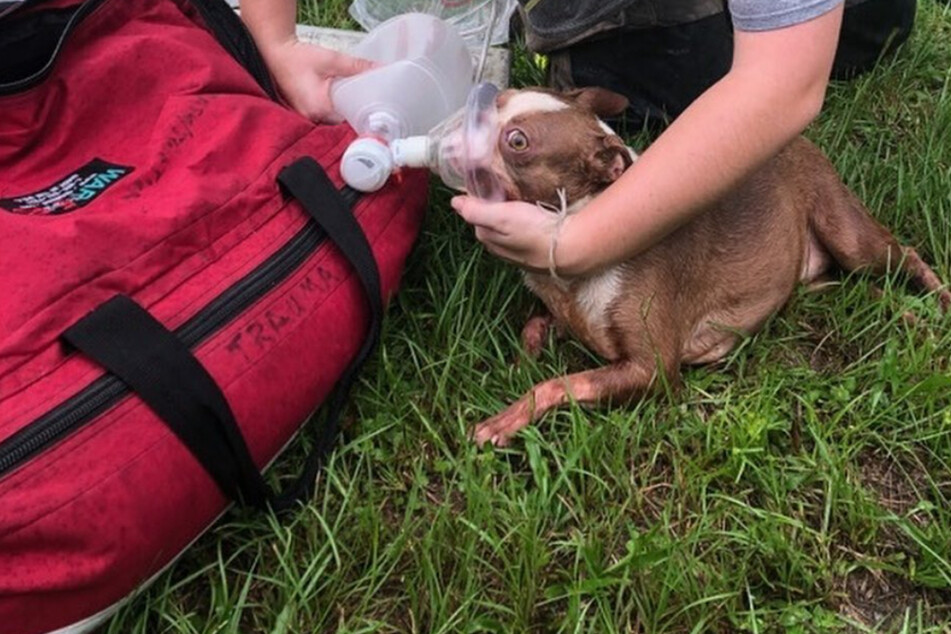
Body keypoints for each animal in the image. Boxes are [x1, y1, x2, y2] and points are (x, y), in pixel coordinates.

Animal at [472, 87, 948, 444]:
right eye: (503, 98)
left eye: (517, 141)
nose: (475, 108)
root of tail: (800, 138)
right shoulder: (568, 316)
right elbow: (535, 328)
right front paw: (519, 364)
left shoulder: (652, 372)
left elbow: (562, 383)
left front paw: (509, 416)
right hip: (815, 279)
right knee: (853, 289)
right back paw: (903, 316)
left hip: (847, 235)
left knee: (905, 255)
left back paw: (939, 303)